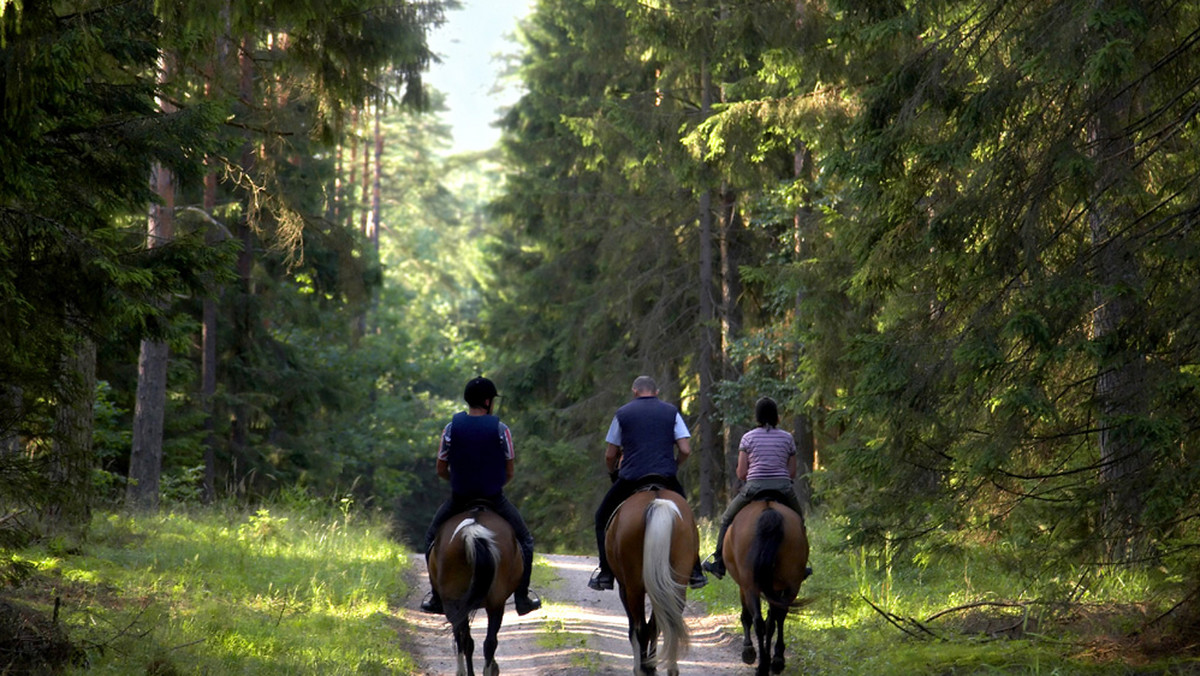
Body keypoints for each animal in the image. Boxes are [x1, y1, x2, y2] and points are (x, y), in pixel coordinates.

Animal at [432, 509, 525, 676]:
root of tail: (472, 531)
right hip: (495, 603)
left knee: (464, 638)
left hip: (453, 602)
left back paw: (464, 671)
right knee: (488, 642)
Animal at [604, 489, 700, 672]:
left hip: (634, 588)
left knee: (641, 628)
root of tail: (657, 502)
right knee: (663, 624)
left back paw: (643, 669)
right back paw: (667, 668)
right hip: (675, 584)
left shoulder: (624, 588)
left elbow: (634, 628)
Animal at [720, 499, 806, 672]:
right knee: (778, 617)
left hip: (750, 585)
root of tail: (769, 512)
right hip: (792, 584)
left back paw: (761, 664)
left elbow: (747, 616)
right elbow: (772, 620)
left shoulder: (743, 585)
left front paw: (748, 650)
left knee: (758, 620)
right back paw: (776, 660)